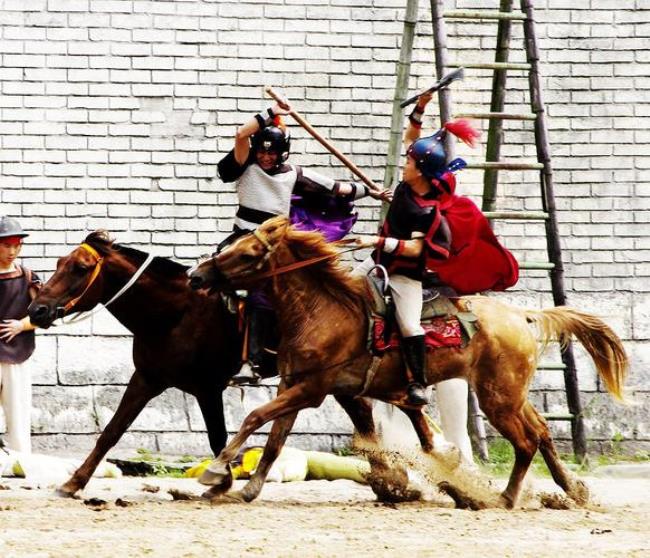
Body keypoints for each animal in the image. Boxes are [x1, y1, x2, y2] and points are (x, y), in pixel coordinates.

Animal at [27, 232, 240, 498]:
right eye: (58, 263)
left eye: (81, 268)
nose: (36, 310)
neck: (177, 314)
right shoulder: (146, 379)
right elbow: (112, 431)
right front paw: (74, 482)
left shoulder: (208, 387)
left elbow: (217, 437)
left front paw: (222, 482)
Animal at [189, 218, 628, 512]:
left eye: (247, 253)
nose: (196, 275)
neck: (324, 310)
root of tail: (521, 315)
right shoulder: (298, 386)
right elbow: (275, 439)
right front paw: (246, 488)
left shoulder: (310, 390)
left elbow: (254, 418)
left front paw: (217, 472)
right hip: (510, 394)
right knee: (542, 432)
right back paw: (571, 489)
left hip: (498, 399)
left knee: (526, 441)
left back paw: (502, 497)